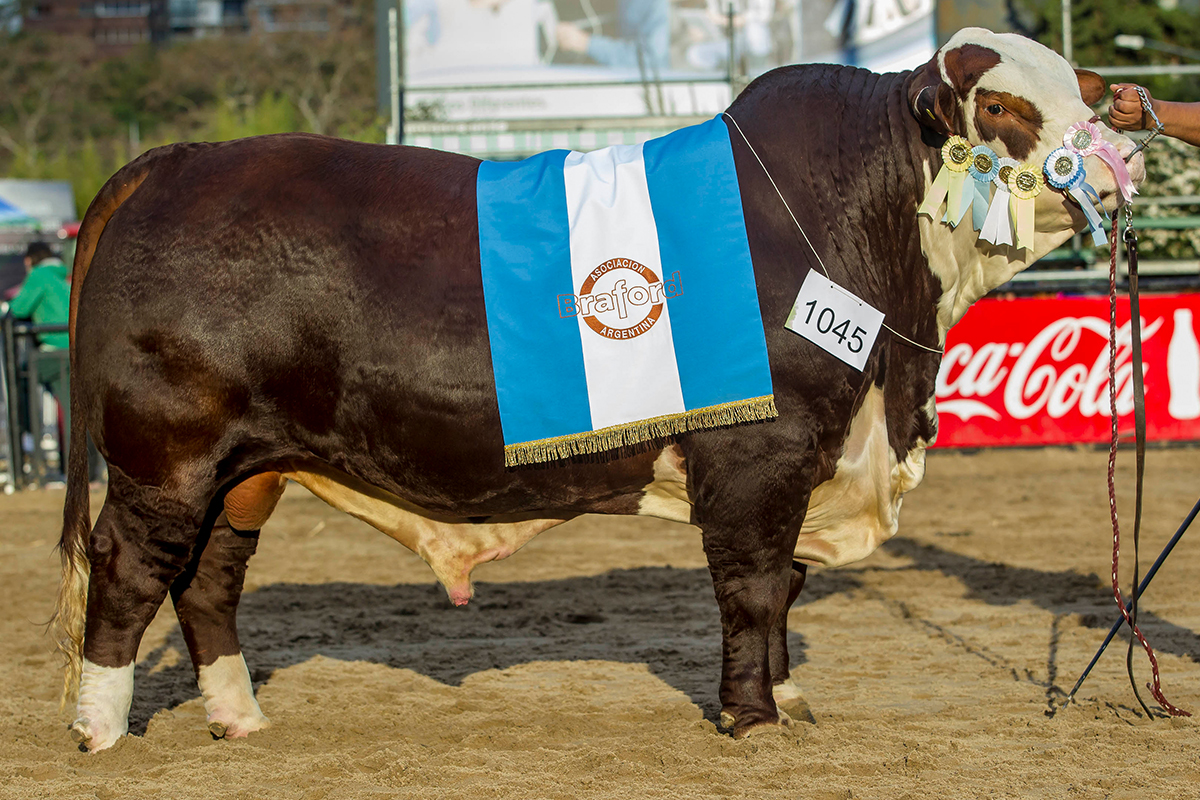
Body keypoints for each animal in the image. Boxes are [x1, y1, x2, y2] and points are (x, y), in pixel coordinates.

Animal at [52, 27, 1144, 752]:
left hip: (248, 467)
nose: (1119, 164)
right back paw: (100, 729)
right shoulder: (763, 450)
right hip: (165, 455)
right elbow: (756, 584)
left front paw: (788, 703)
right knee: (128, 568)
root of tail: (179, 162)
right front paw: (753, 718)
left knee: (209, 576)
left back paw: (240, 715)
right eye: (1000, 107)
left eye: (1085, 94)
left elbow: (786, 584)